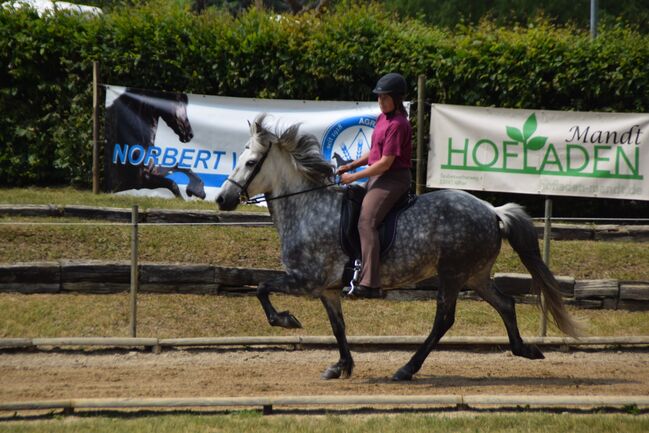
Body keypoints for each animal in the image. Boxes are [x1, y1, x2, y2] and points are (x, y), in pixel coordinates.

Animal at [215, 114, 580, 378]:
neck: (307, 208)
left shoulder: (305, 280)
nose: (222, 199)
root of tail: (492, 211)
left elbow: (262, 287)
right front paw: (342, 366)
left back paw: (407, 368)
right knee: (505, 303)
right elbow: (338, 326)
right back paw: (525, 349)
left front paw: (286, 320)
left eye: (251, 163)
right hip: (474, 275)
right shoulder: (328, 289)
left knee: (444, 319)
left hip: (452, 274)